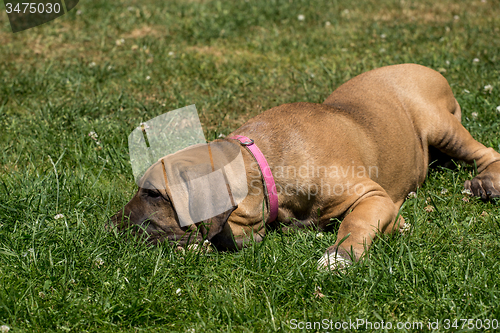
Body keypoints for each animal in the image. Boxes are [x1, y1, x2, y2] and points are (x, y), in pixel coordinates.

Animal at [111, 64, 500, 270]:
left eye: (153, 193)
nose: (110, 223)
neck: (264, 171)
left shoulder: (371, 195)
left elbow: (357, 220)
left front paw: (340, 256)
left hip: (437, 122)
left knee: (486, 152)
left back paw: (484, 183)